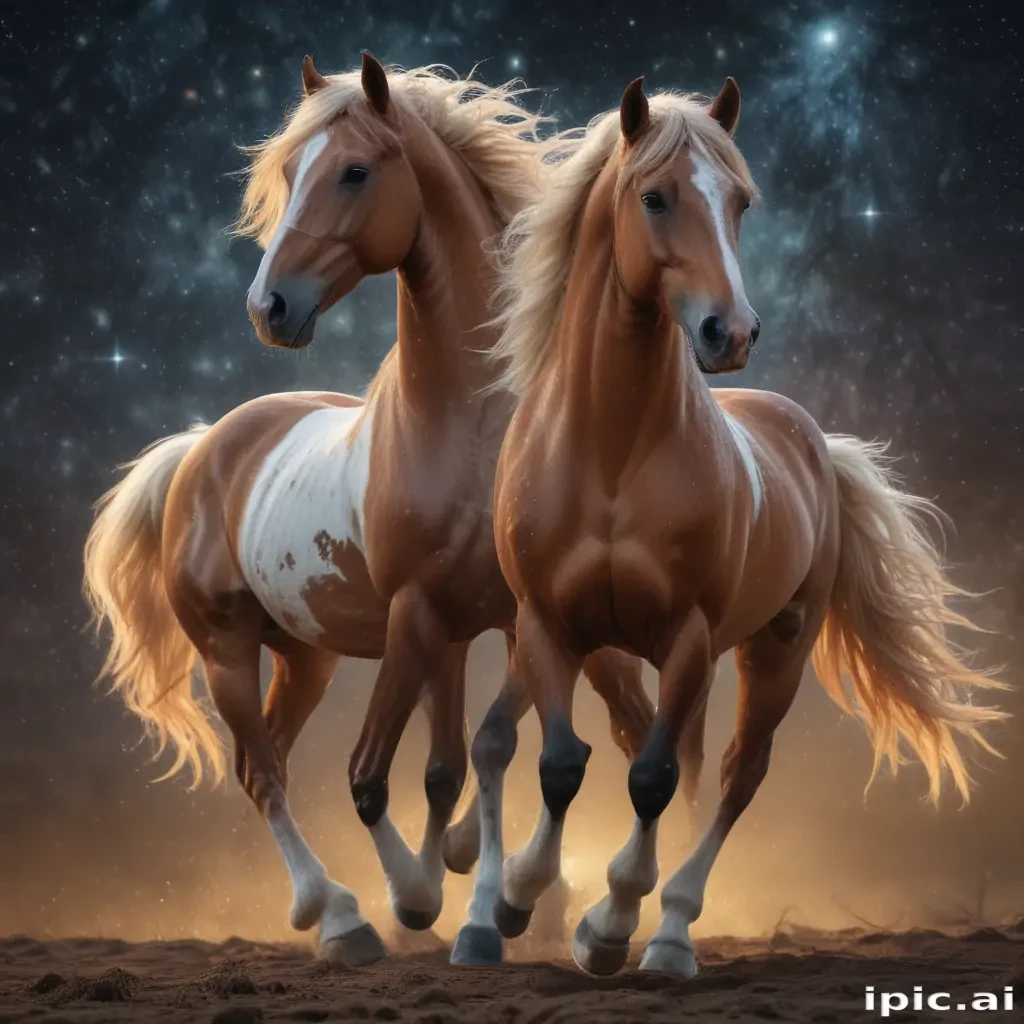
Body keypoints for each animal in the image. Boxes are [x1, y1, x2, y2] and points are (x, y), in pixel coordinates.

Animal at [82, 54, 657, 968]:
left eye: (354, 171)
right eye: (289, 171)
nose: (269, 307)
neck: (469, 427)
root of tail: (204, 447)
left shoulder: (496, 621)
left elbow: (476, 756)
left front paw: (486, 889)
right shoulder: (421, 616)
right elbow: (370, 777)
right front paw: (424, 899)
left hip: (306, 657)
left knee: (276, 760)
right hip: (226, 649)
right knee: (265, 774)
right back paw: (342, 917)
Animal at [484, 73, 1009, 978]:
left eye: (739, 201)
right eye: (655, 197)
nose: (730, 332)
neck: (611, 452)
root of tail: (814, 440)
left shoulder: (691, 633)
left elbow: (651, 780)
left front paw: (610, 926)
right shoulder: (549, 624)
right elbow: (562, 764)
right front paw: (519, 898)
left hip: (775, 649)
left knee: (734, 776)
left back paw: (667, 934)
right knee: (681, 765)